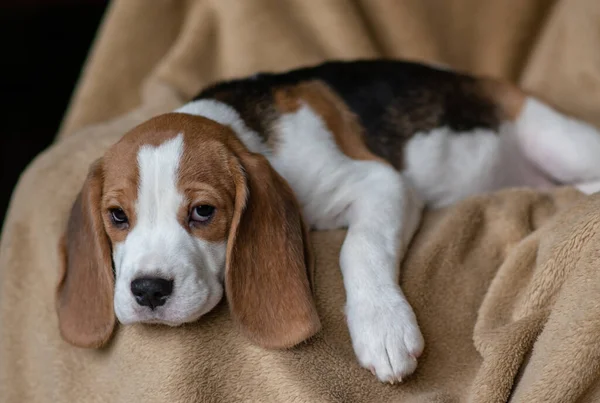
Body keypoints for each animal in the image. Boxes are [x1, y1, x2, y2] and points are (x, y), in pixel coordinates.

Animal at [55, 58, 600, 384]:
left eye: (204, 212)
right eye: (117, 216)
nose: (148, 290)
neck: (243, 125)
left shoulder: (381, 184)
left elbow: (358, 245)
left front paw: (383, 325)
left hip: (554, 136)